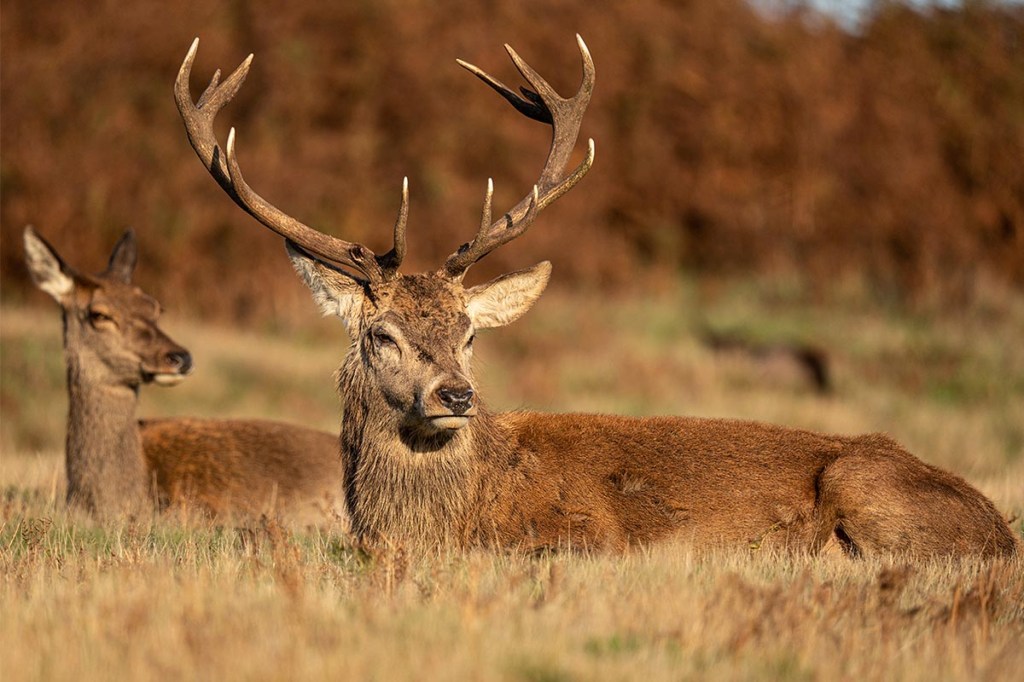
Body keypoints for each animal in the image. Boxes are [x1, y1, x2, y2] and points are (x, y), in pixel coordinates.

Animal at [176, 37, 1015, 557]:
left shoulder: (591, 536)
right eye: (381, 334)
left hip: (865, 484)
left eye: (470, 332)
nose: (455, 395)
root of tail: (1001, 532)